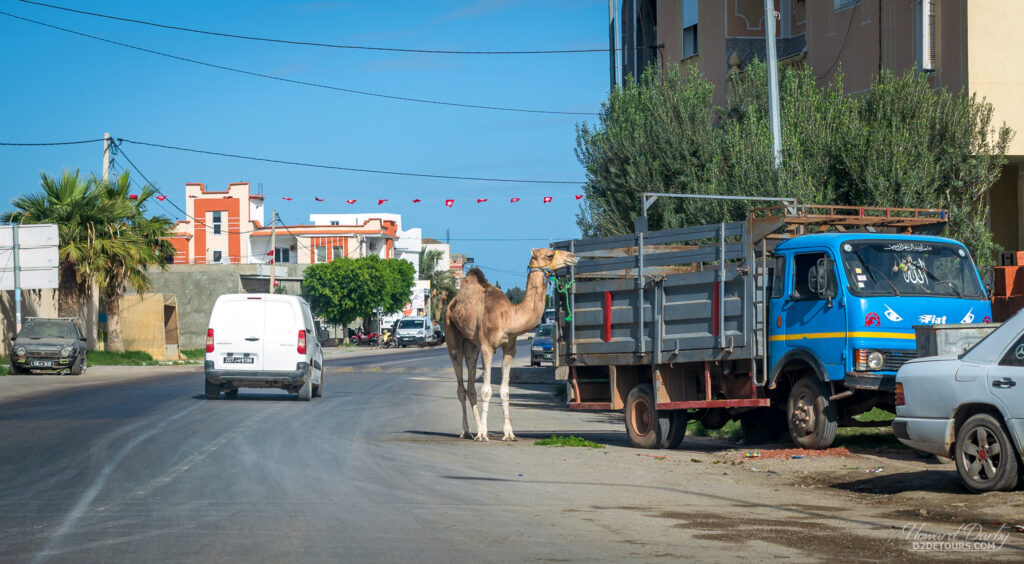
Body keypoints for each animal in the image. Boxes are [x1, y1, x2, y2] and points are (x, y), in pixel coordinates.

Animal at [446, 250, 581, 442]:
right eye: (549, 255)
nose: (571, 256)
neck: (508, 317)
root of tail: (452, 303)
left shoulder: (510, 348)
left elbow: (505, 391)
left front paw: (508, 433)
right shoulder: (487, 347)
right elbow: (486, 390)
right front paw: (483, 434)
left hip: (472, 344)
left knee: (471, 386)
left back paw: (476, 429)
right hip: (452, 333)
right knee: (460, 384)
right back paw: (467, 431)